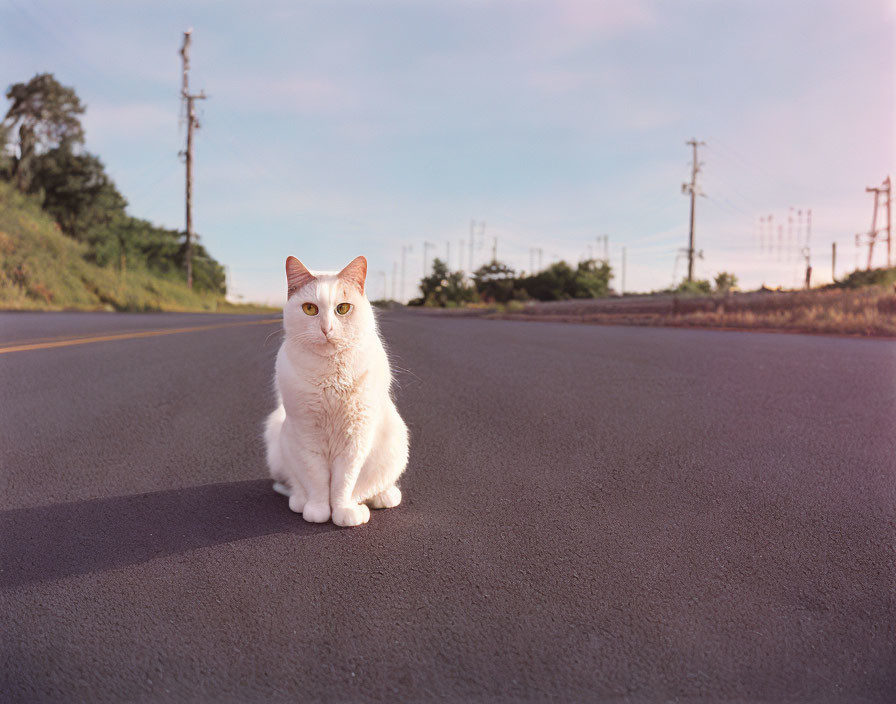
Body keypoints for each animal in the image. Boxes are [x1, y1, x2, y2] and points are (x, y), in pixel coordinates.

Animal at [262, 256, 410, 524]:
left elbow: (344, 482)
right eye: (310, 309)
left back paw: (383, 497)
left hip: (397, 438)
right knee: (294, 483)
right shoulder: (307, 434)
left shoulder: (355, 436)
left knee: (377, 487)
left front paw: (344, 512)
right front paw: (318, 511)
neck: (331, 375)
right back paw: (299, 500)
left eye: (343, 308)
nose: (326, 328)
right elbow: (317, 479)